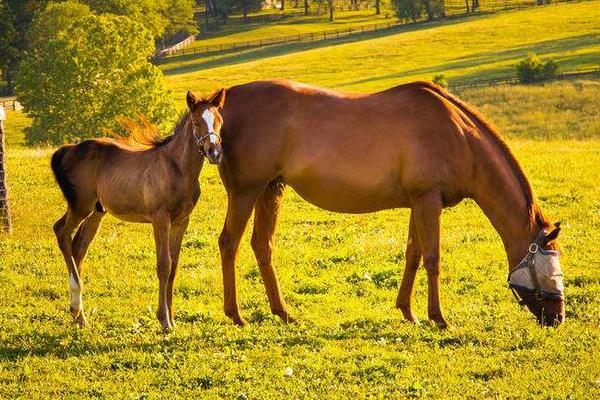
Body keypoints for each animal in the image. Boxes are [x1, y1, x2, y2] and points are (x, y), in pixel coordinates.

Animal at [50, 89, 225, 330]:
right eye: (197, 123)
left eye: (219, 121)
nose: (214, 152)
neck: (177, 168)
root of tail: (67, 150)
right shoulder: (160, 219)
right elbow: (164, 265)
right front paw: (164, 320)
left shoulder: (181, 221)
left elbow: (174, 266)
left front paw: (172, 319)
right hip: (80, 206)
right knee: (61, 232)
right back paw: (76, 307)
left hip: (96, 212)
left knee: (78, 247)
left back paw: (80, 316)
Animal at [217, 79, 568, 328]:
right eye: (550, 268)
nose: (557, 318)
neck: (459, 136)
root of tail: (226, 100)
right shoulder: (428, 200)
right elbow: (432, 259)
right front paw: (439, 317)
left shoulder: (419, 203)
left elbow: (413, 255)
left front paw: (408, 312)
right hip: (246, 192)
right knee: (229, 243)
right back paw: (235, 314)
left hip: (270, 190)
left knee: (262, 245)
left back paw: (282, 312)